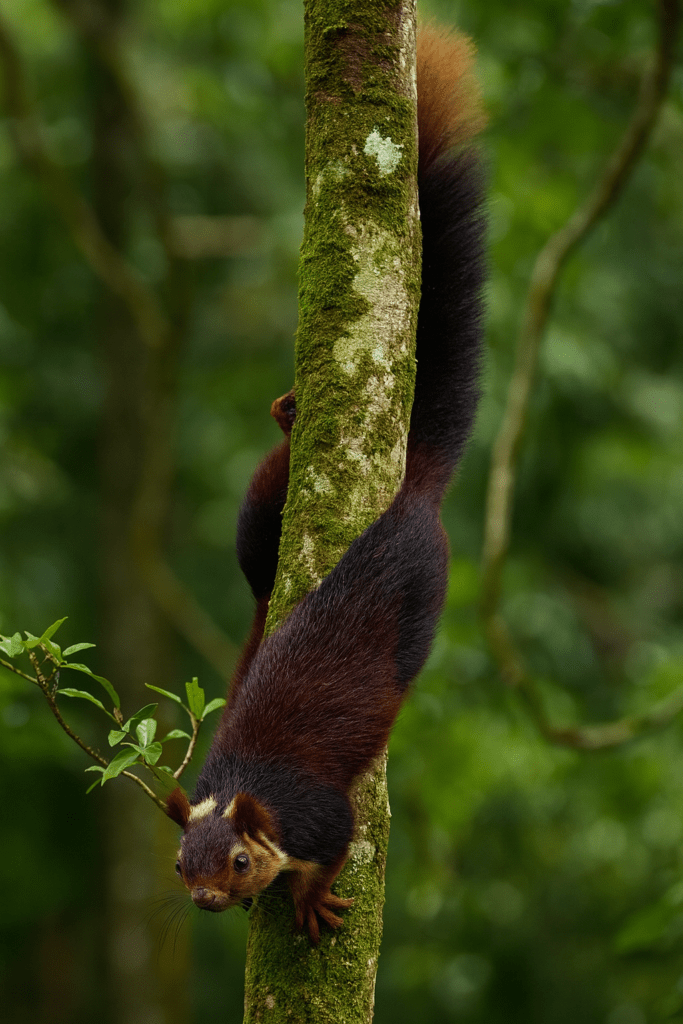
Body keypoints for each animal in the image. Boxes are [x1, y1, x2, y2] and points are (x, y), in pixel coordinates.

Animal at [166, 25, 487, 944]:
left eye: (238, 863)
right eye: (179, 865)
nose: (207, 901)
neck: (242, 786)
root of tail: (408, 499)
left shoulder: (318, 815)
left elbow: (335, 848)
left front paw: (309, 900)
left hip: (421, 601)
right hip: (257, 527)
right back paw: (285, 414)